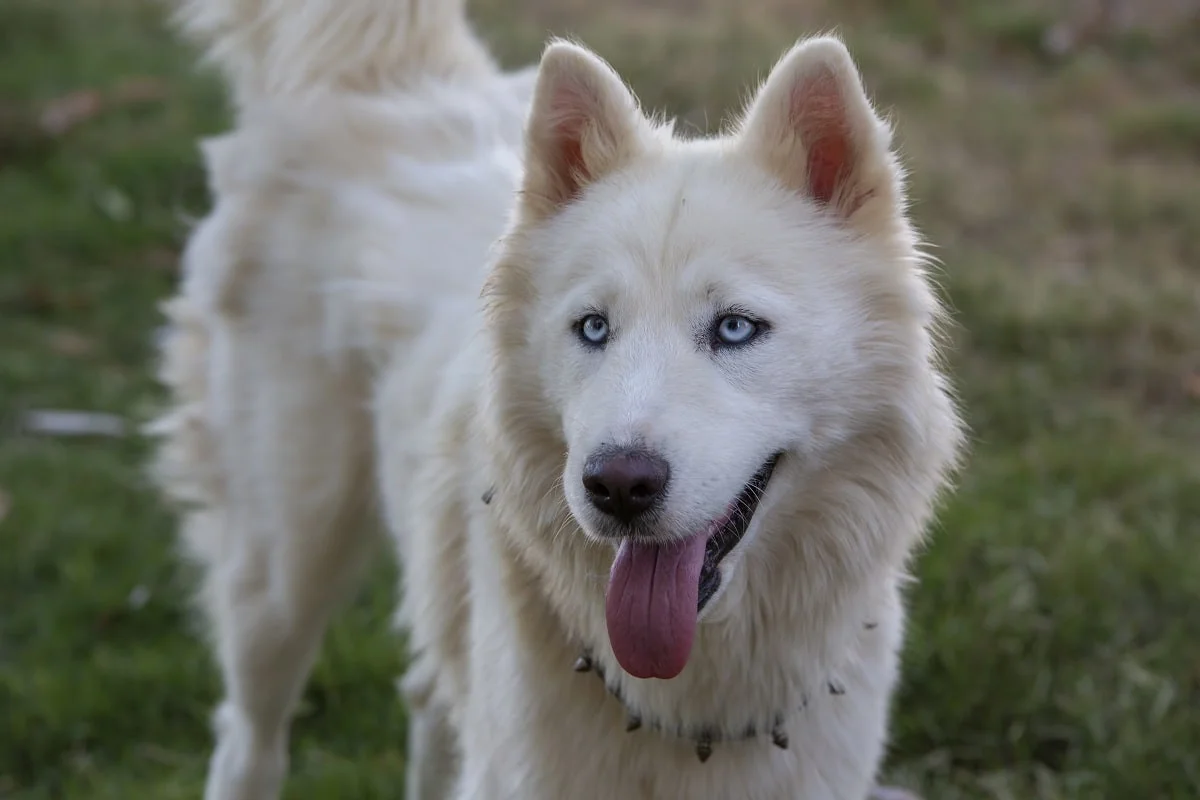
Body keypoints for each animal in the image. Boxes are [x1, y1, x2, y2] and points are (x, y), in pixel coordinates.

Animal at [152, 0, 964, 796]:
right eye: (594, 327)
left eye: (735, 328)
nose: (618, 486)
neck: (691, 706)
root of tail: (390, 77)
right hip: (283, 571)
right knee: (250, 741)